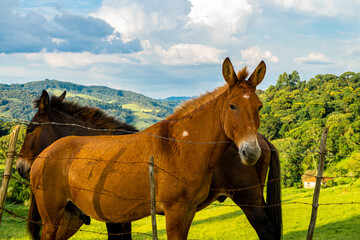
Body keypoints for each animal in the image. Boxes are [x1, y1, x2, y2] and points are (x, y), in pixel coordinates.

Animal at [19, 59, 282, 239]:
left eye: (259, 106)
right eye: (232, 106)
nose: (250, 152)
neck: (180, 146)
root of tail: (44, 157)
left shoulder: (184, 212)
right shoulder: (173, 213)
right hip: (55, 218)